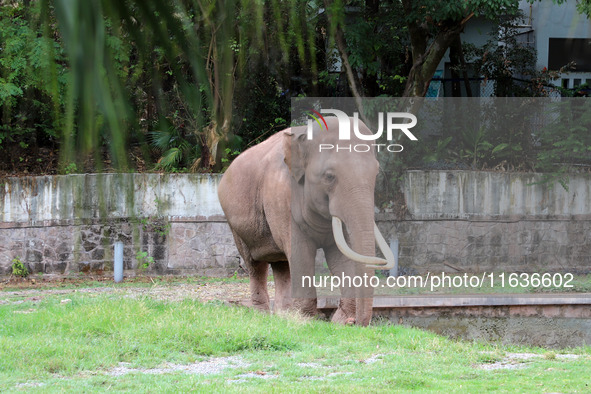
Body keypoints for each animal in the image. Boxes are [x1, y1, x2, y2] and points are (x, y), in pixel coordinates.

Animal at [217, 117, 394, 326]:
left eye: (376, 173)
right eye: (329, 176)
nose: (356, 322)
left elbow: (341, 256)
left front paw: (340, 322)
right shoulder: (280, 198)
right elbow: (301, 252)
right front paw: (305, 321)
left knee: (282, 265)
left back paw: (283, 315)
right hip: (235, 223)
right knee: (255, 264)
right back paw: (262, 315)